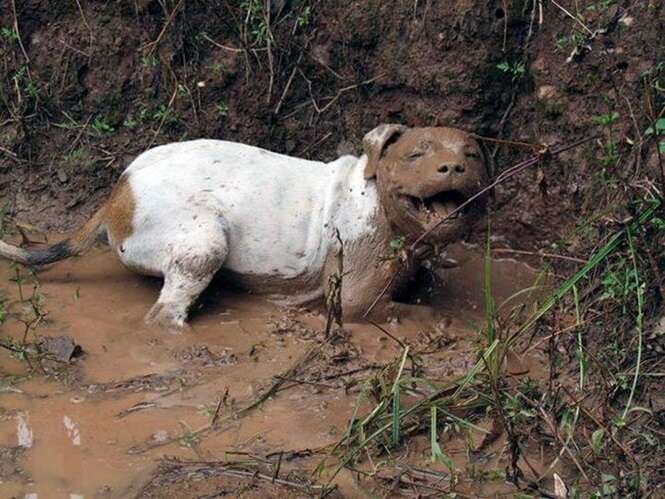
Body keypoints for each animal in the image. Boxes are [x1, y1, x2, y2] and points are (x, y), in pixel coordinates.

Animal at [0, 124, 488, 328]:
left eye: (473, 155)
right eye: (416, 154)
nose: (453, 167)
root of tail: (118, 194)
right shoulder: (355, 302)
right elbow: (415, 311)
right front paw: (448, 322)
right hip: (204, 243)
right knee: (164, 313)